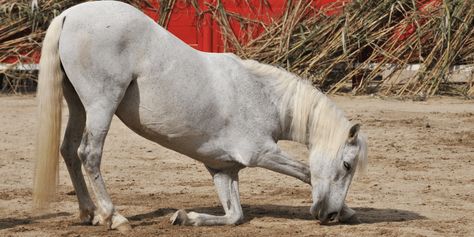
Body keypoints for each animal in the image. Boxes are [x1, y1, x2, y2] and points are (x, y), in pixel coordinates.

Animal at [33, 0, 366, 232]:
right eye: (347, 165)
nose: (328, 215)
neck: (262, 95)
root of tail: (68, 15)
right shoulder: (260, 153)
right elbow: (307, 172)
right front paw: (348, 210)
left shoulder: (222, 169)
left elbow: (234, 215)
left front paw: (185, 217)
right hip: (101, 105)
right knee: (89, 154)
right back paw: (114, 217)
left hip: (78, 105)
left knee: (69, 151)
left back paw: (89, 213)